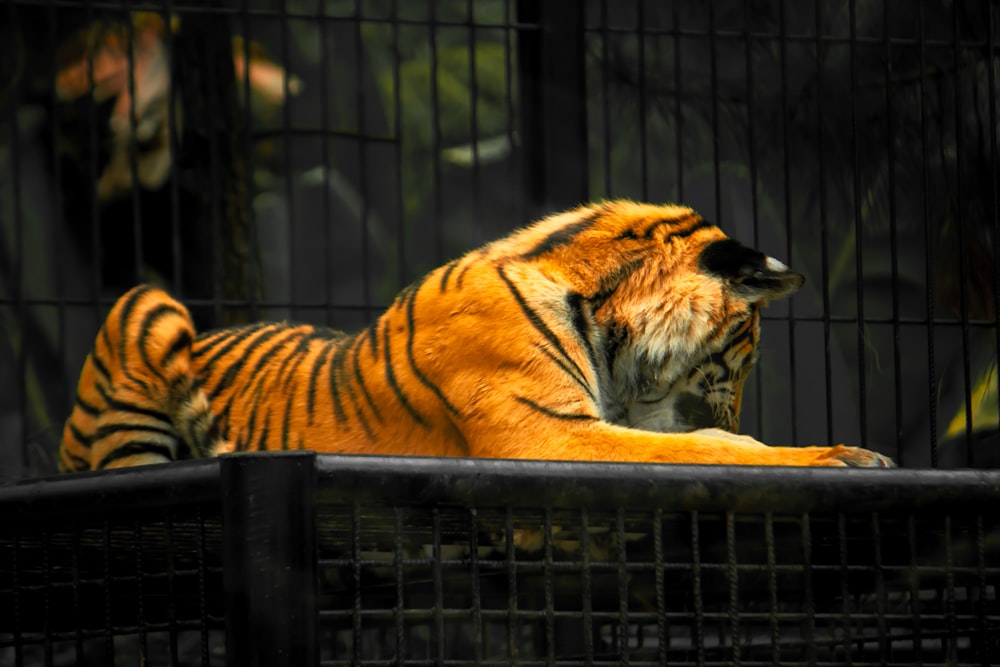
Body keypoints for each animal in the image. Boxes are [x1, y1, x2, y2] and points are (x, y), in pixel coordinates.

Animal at [58, 201, 896, 472]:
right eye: (742, 352)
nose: (730, 409)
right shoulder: (547, 433)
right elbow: (702, 451)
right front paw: (846, 455)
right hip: (148, 304)